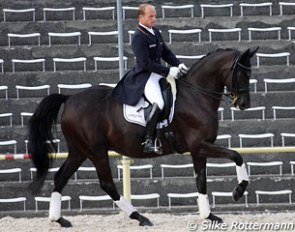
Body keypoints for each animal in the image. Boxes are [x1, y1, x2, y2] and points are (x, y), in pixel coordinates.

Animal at [27, 46, 260, 227]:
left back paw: (59, 220)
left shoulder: (198, 149)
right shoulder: (199, 145)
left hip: (79, 150)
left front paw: (209, 215)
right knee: (106, 183)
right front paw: (238, 191)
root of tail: (69, 98)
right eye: (242, 73)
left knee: (61, 177)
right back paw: (139, 217)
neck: (197, 96)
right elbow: (236, 155)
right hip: (96, 151)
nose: (244, 104)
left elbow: (201, 180)